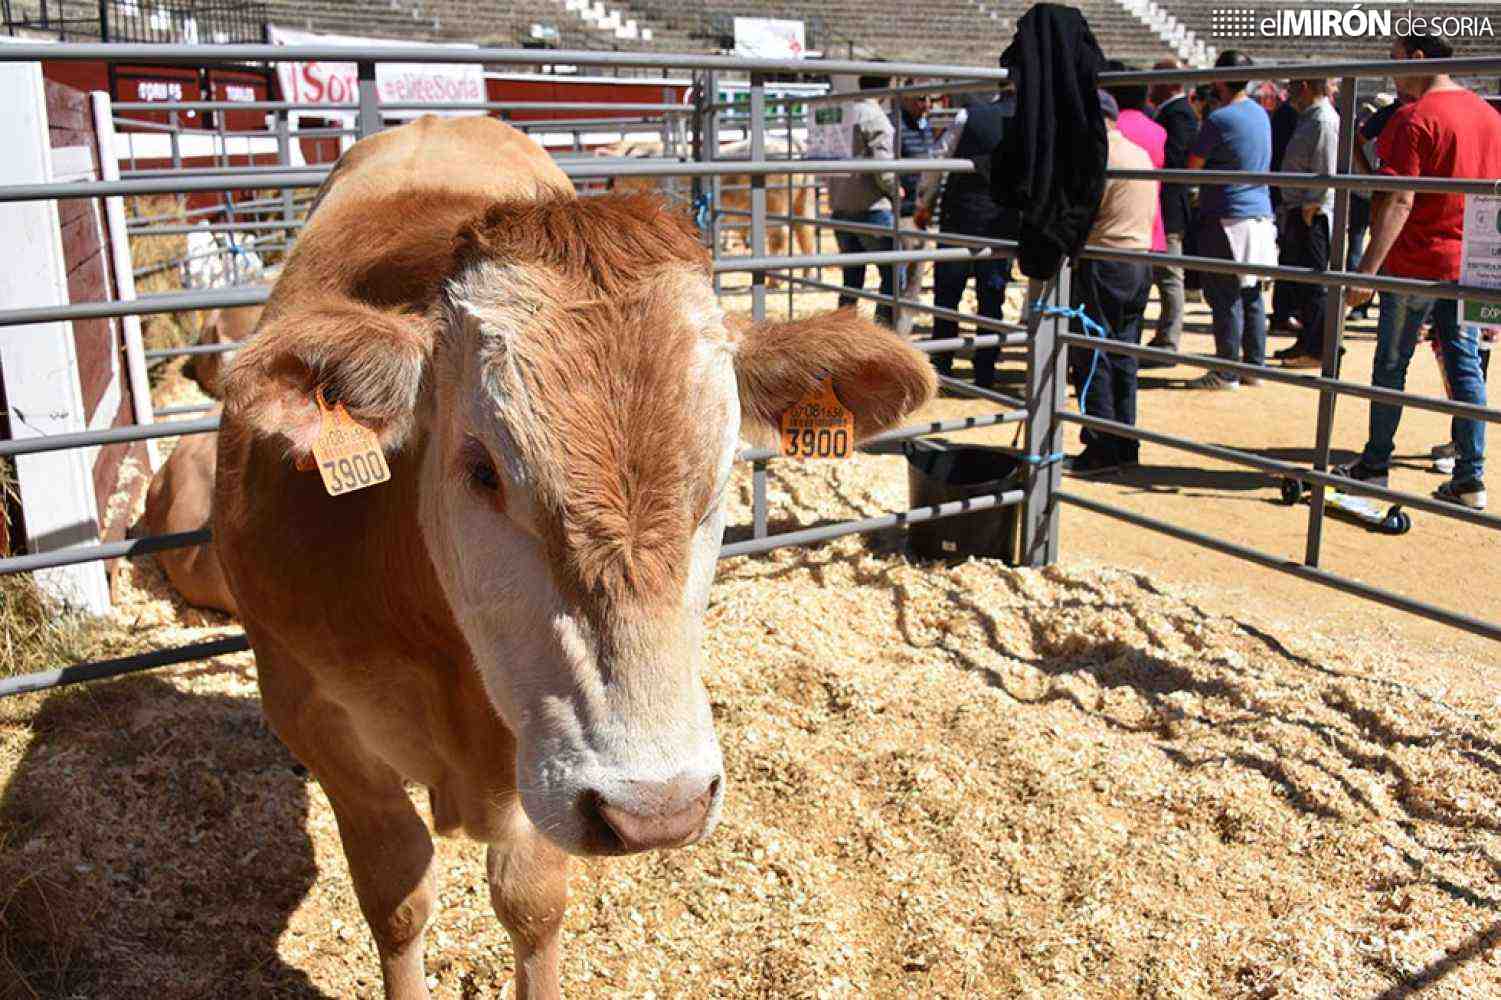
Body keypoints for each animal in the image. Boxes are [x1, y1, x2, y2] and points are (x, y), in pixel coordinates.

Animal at [214, 118, 936, 996]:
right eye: (482, 468)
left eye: (720, 471)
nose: (658, 806)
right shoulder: (313, 714)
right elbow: (398, 899)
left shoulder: (542, 750)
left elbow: (531, 902)